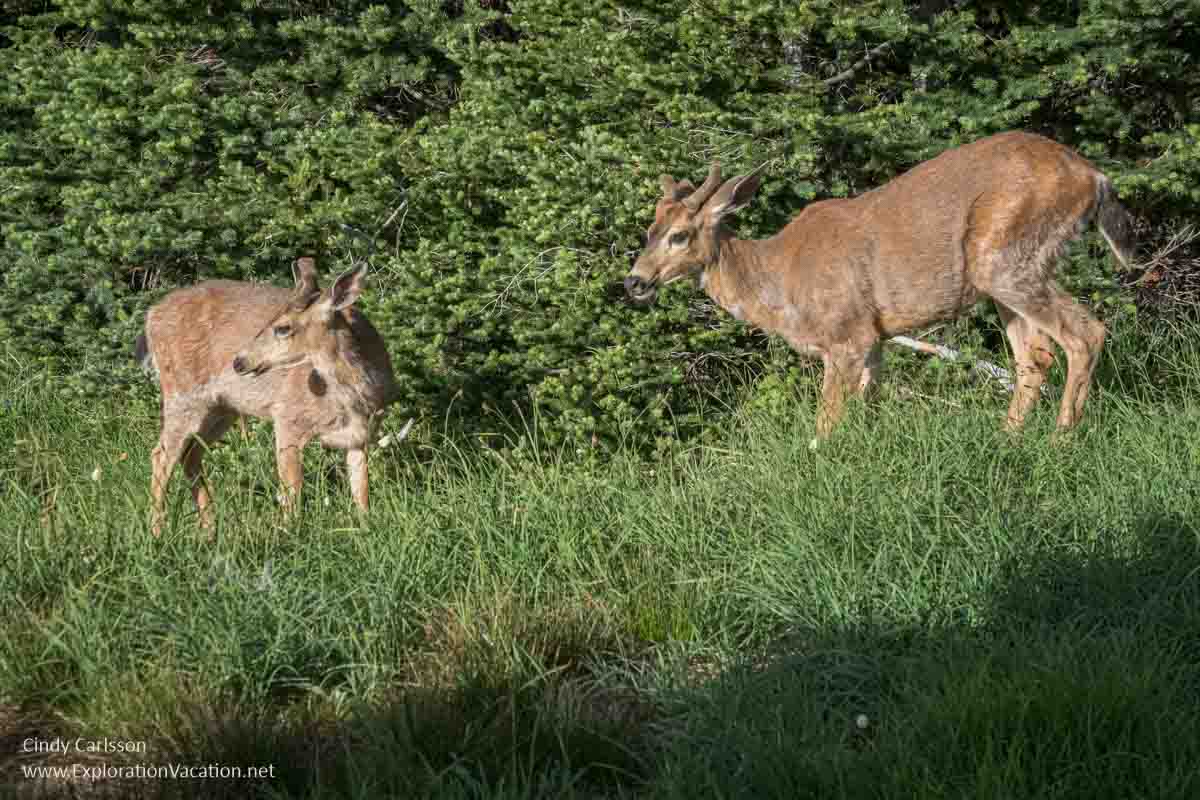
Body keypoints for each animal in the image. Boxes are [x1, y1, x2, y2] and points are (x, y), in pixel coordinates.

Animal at [135, 257, 402, 536]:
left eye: (282, 327)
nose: (239, 361)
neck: (354, 398)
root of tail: (151, 315)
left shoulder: (360, 436)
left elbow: (361, 491)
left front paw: (365, 527)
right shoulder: (287, 417)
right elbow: (292, 490)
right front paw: (289, 533)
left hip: (221, 408)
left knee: (190, 455)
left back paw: (209, 530)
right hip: (182, 394)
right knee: (161, 455)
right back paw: (157, 532)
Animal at [624, 130, 1135, 440]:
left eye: (679, 235)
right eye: (648, 230)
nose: (635, 282)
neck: (780, 282)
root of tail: (1094, 176)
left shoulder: (846, 334)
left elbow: (825, 424)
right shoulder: (875, 340)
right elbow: (866, 411)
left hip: (1005, 259)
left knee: (1086, 334)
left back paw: (1059, 441)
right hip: (1005, 277)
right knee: (1036, 357)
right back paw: (1007, 438)